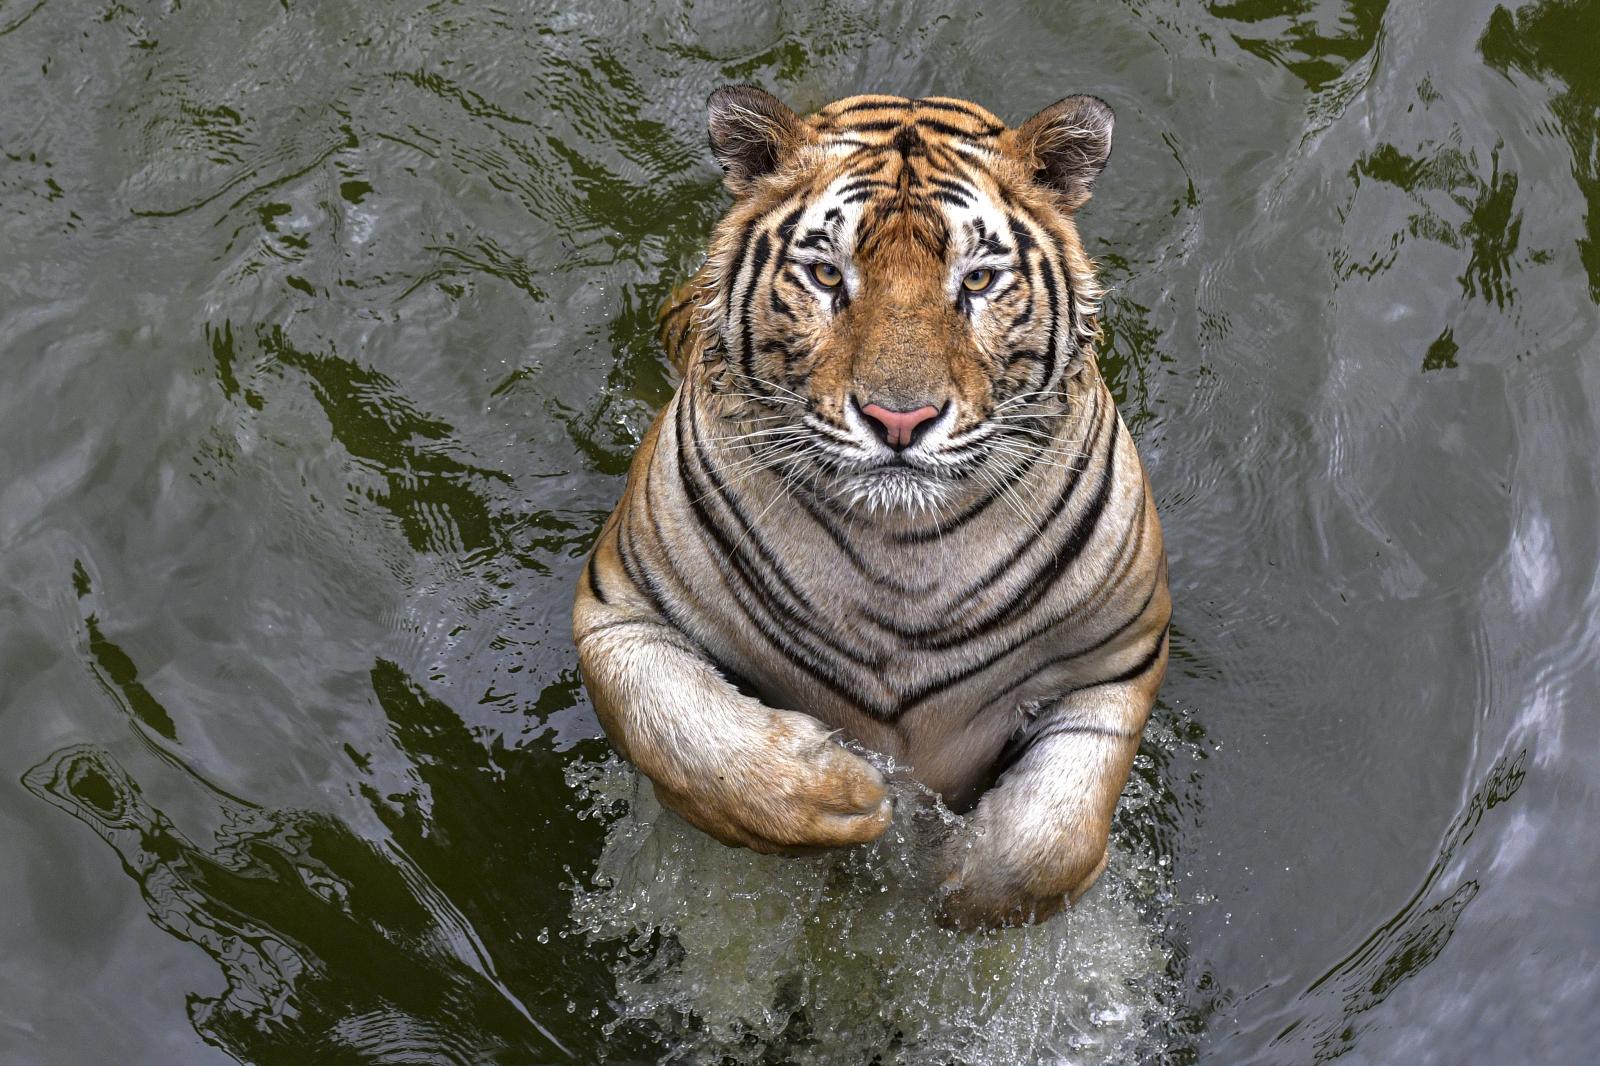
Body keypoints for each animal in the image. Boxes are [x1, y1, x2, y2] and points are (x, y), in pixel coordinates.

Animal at [569, 87, 1171, 928]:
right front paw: (843, 792)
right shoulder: (619, 610)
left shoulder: (1121, 656)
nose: (899, 419)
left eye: (977, 282)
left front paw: (959, 882)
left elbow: (1050, 844)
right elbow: (685, 738)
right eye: (828, 274)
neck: (902, 547)